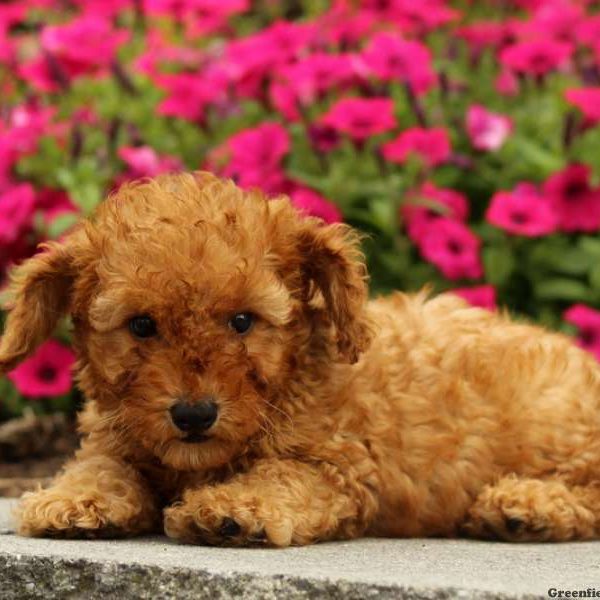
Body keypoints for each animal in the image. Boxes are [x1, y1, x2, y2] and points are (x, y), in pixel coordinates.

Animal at [1, 171, 600, 548]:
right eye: (141, 326)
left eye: (243, 321)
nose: (194, 415)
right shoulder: (117, 436)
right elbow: (101, 464)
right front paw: (73, 498)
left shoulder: (340, 469)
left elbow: (282, 476)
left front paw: (235, 509)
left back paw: (526, 505)